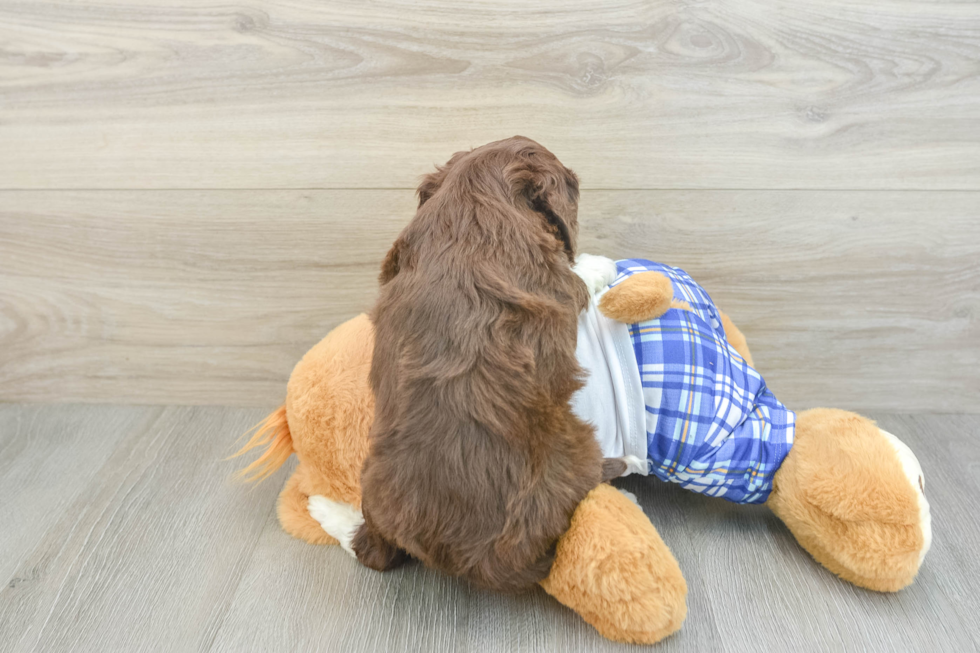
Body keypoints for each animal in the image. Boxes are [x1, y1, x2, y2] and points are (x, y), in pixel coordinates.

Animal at [356, 135, 620, 588]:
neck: (470, 197)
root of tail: (471, 563)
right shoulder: (562, 282)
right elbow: (580, 277)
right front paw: (600, 265)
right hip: (579, 446)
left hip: (371, 481)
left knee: (373, 553)